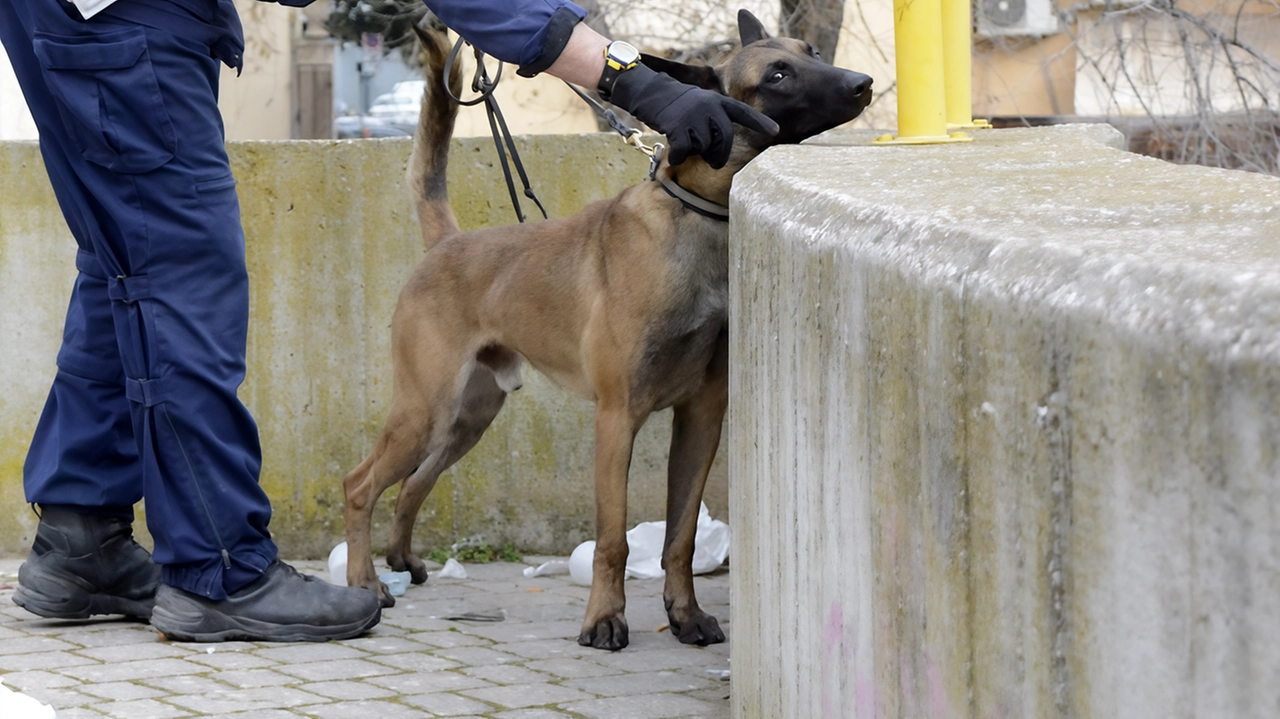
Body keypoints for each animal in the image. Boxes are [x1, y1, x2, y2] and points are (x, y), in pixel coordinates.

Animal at [345, 8, 875, 649]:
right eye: (777, 74)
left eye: (812, 52)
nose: (863, 83)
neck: (697, 215)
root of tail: (450, 241)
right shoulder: (617, 417)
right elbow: (614, 540)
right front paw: (604, 618)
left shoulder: (701, 418)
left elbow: (680, 536)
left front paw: (685, 615)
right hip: (424, 411)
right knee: (359, 486)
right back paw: (364, 585)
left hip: (464, 420)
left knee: (412, 483)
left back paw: (400, 559)